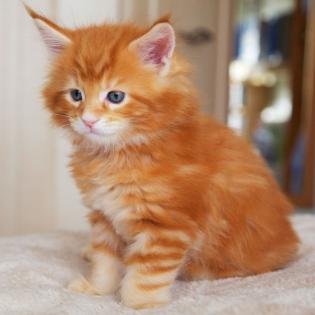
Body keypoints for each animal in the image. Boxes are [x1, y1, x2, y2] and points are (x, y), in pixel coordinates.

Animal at [25, 5, 300, 312]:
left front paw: (141, 305)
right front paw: (97, 288)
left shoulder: (168, 226)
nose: (88, 120)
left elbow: (145, 275)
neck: (118, 154)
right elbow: (105, 258)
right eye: (76, 95)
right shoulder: (104, 215)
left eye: (115, 96)